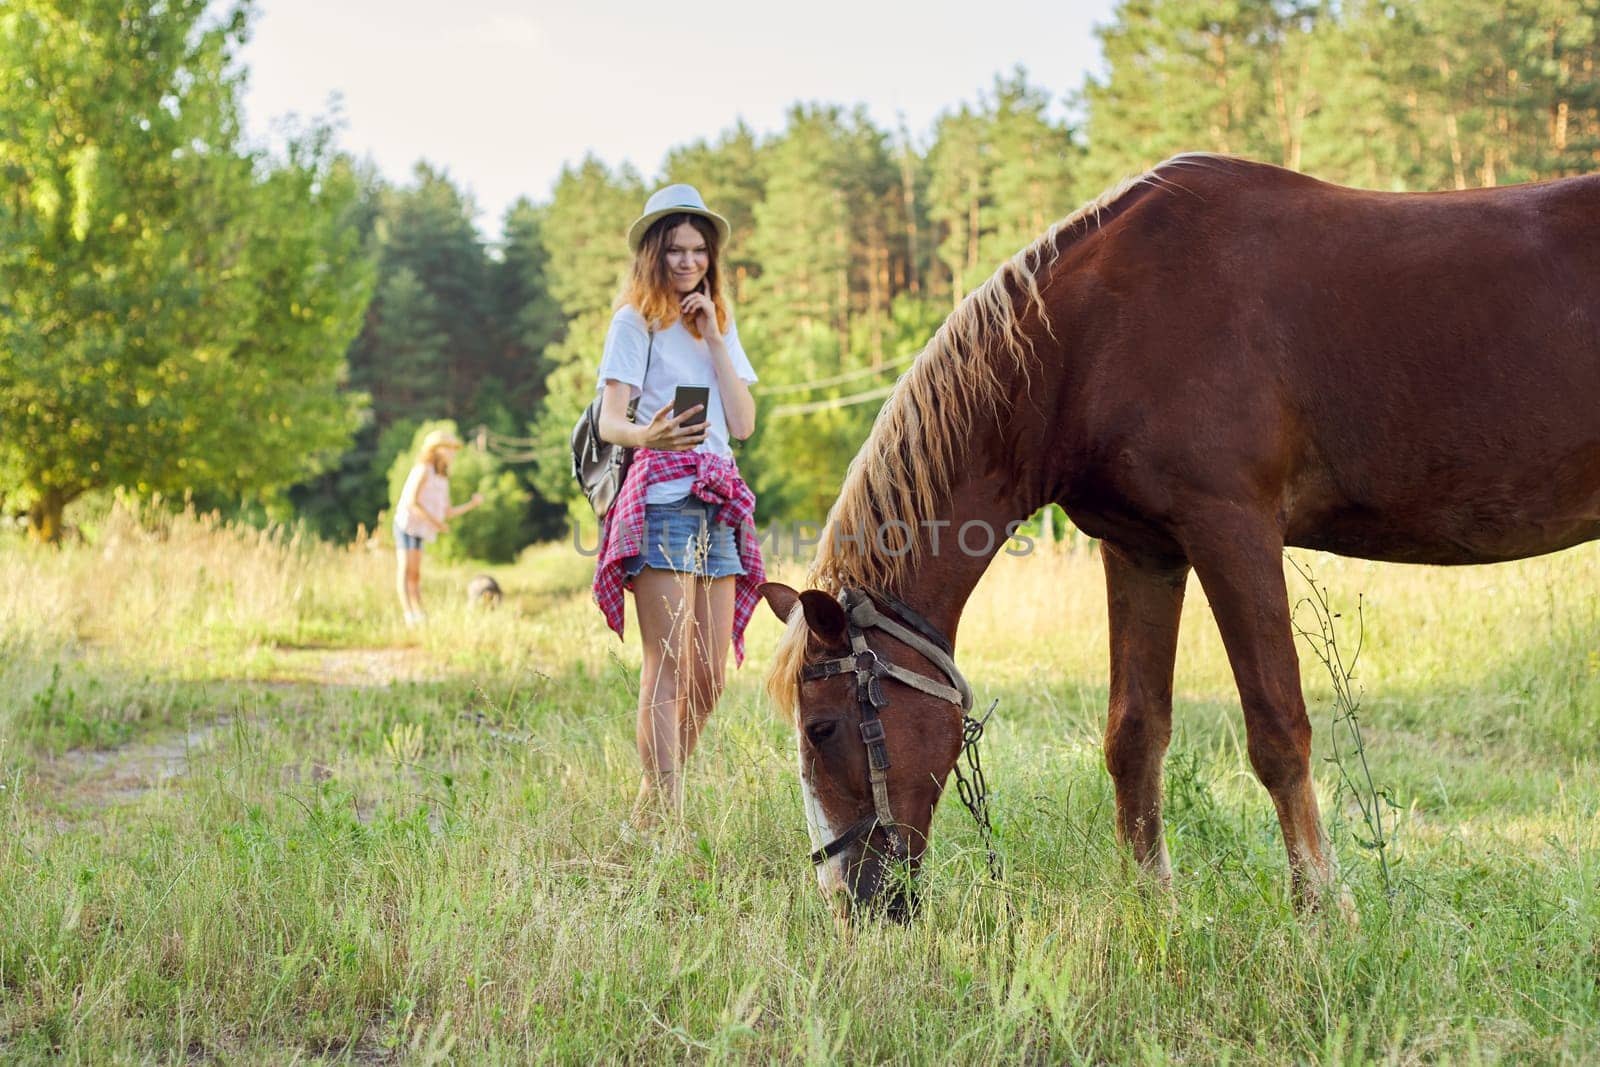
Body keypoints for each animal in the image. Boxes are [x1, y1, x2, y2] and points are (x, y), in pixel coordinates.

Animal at [758, 154, 1600, 921]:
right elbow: (1133, 734)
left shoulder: (1232, 531)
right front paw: (1152, 903)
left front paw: (1322, 911)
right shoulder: (1142, 550)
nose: (851, 902)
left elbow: (1277, 730)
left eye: (823, 727)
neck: (1095, 334)